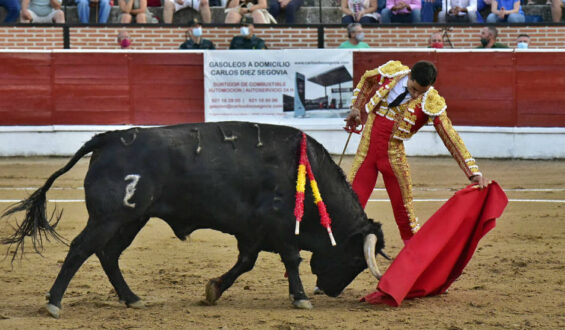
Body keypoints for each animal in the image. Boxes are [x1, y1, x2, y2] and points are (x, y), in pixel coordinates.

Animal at [0, 121, 386, 318]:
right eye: (356, 259)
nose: (331, 291)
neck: (305, 173)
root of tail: (108, 138)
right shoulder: (277, 226)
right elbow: (291, 259)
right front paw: (301, 297)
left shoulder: (253, 232)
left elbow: (245, 263)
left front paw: (213, 289)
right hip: (110, 216)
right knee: (81, 249)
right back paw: (54, 303)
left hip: (132, 219)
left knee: (108, 254)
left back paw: (132, 298)